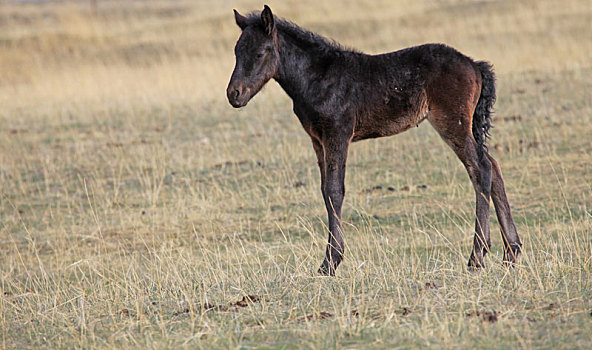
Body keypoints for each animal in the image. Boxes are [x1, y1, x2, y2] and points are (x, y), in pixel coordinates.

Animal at [227, 4, 524, 274]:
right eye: (236, 52)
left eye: (260, 52)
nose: (234, 94)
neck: (318, 77)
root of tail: (475, 65)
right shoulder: (317, 139)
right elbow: (324, 190)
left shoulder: (338, 134)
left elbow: (334, 190)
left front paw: (330, 262)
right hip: (467, 125)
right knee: (493, 166)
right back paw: (511, 252)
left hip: (453, 123)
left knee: (480, 169)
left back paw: (477, 256)